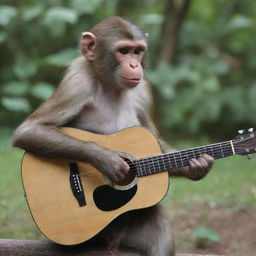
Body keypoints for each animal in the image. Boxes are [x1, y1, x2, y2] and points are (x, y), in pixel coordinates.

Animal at [13, 16, 213, 256]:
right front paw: (109, 161)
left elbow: (156, 141)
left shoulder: (144, 91)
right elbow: (29, 130)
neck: (110, 85)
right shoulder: (76, 82)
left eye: (137, 51)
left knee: (160, 238)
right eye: (124, 51)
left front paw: (198, 165)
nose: (135, 65)